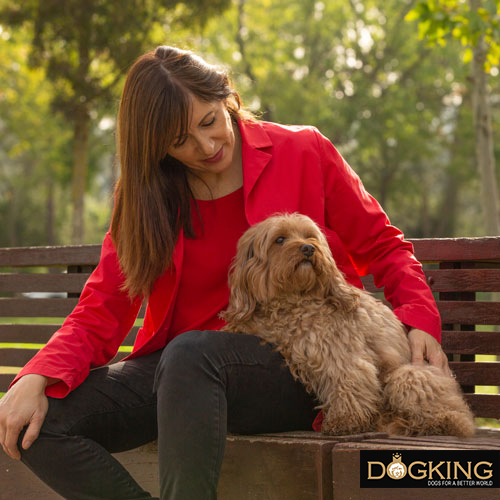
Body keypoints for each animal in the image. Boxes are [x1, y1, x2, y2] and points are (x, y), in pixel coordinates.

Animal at [221, 213, 474, 436]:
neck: (295, 300)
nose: (308, 248)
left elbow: (347, 383)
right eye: (280, 239)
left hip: (407, 376)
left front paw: (344, 420)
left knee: (451, 418)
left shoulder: (341, 355)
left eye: (310, 236)